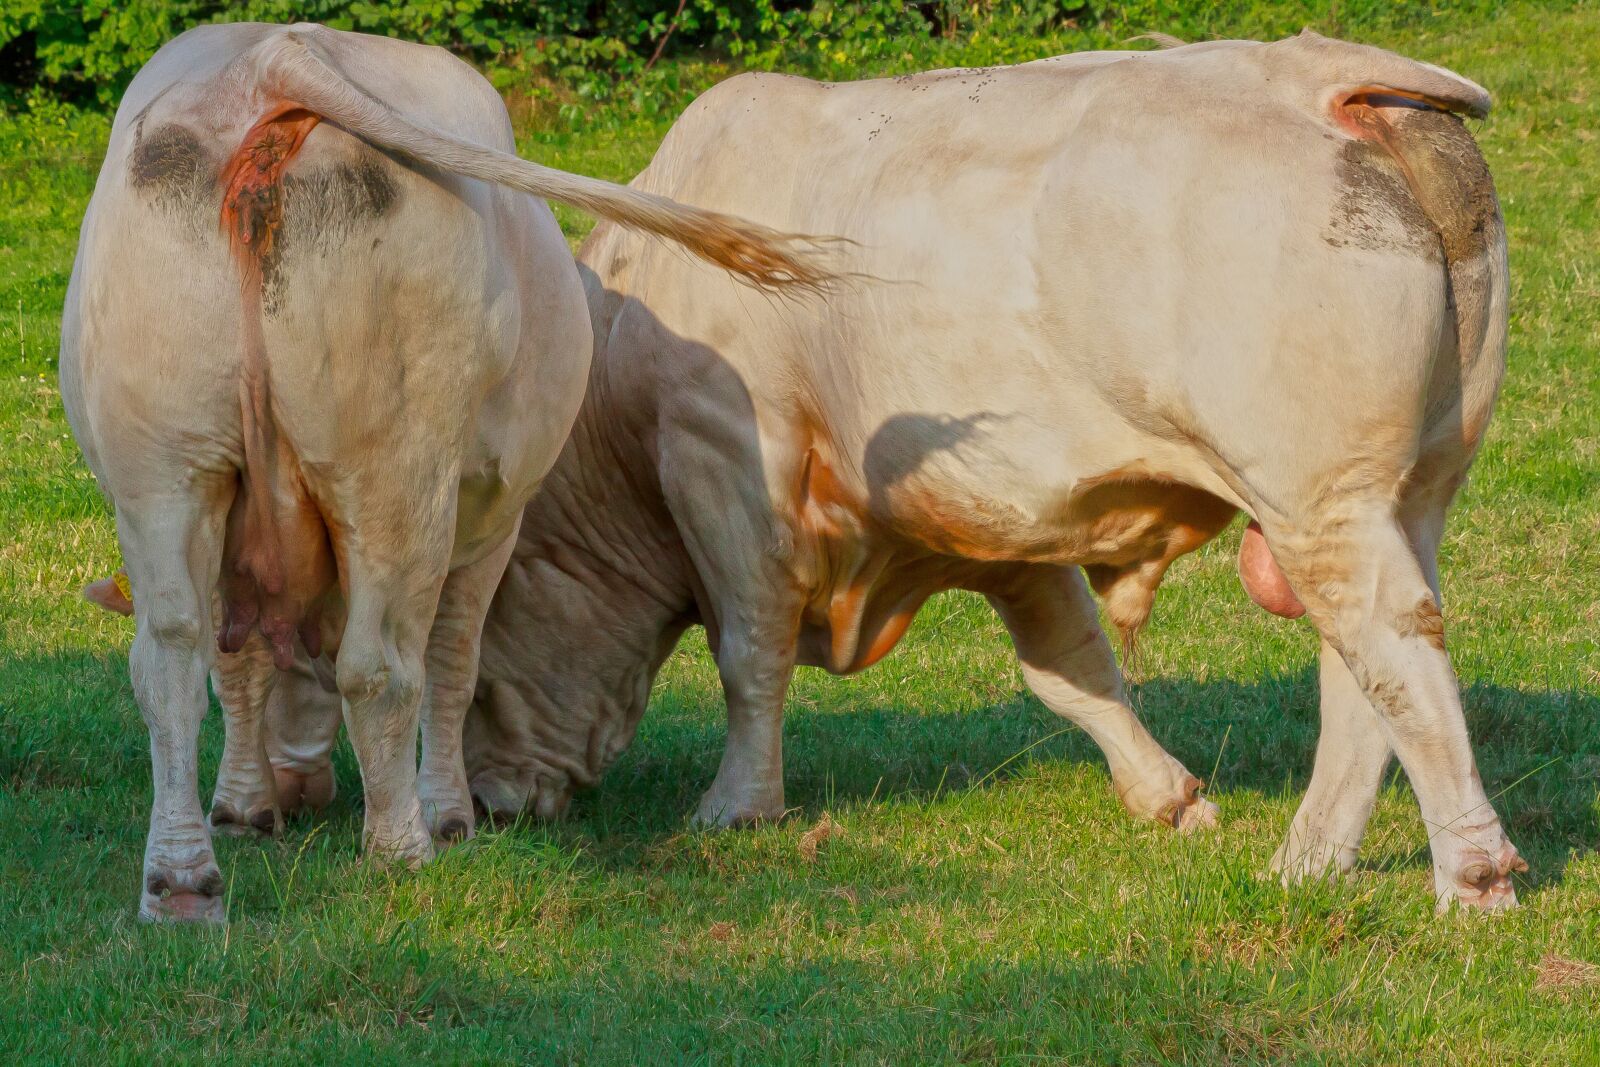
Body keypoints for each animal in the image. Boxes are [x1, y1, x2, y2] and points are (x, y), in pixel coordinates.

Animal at [62, 21, 825, 923]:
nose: (296, 789)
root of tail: (270, 55)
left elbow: (236, 662)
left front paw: (243, 804)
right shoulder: (495, 515)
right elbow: (454, 664)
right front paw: (449, 814)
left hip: (163, 469)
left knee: (168, 658)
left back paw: (181, 878)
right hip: (397, 479)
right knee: (383, 667)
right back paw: (401, 848)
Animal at [214, 31, 1520, 911]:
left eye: (483, 672)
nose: (487, 805)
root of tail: (1330, 76)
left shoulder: (724, 463)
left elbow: (748, 653)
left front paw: (737, 805)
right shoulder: (995, 520)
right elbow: (1071, 669)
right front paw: (1167, 794)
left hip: (1321, 497)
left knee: (1389, 641)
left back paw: (1469, 871)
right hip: (1403, 491)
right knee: (1363, 666)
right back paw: (1308, 856)